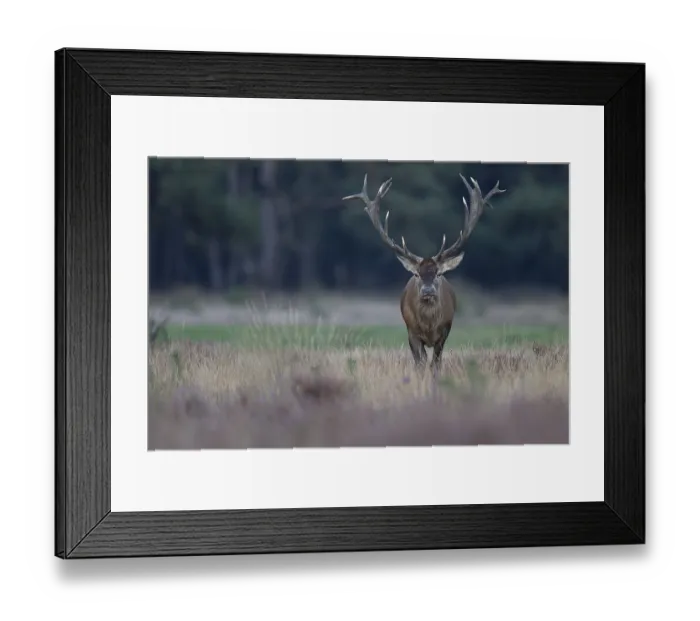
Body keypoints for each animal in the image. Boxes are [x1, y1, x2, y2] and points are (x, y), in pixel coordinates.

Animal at [343, 173, 506, 375]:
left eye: (438, 273)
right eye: (417, 274)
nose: (428, 290)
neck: (429, 326)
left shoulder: (445, 331)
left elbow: (436, 363)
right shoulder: (411, 331)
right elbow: (419, 363)